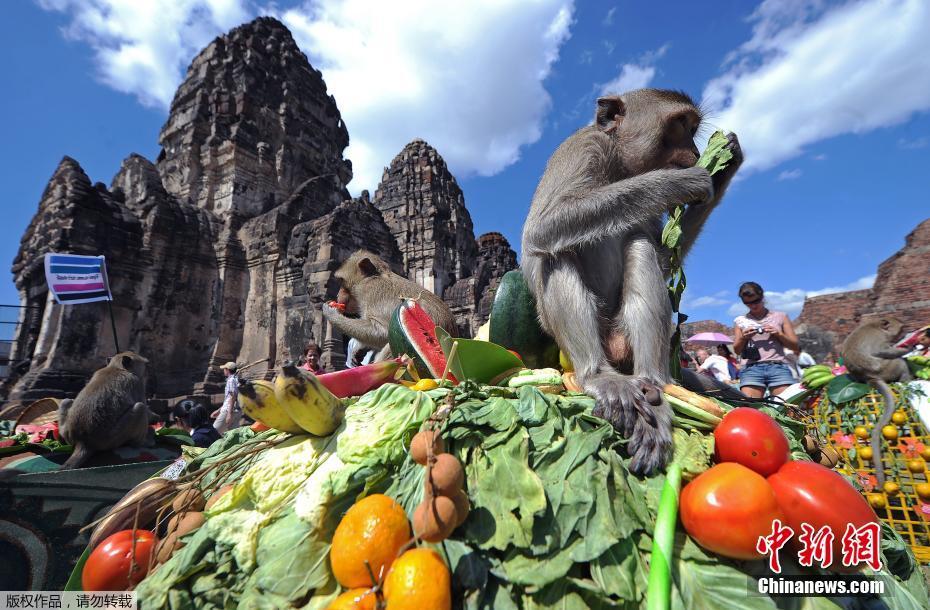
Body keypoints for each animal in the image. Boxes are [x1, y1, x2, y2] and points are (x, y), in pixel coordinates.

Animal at [320, 249, 458, 358]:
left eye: (341, 281)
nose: (337, 295)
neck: (373, 277)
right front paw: (358, 348)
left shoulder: (370, 293)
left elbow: (383, 332)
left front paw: (331, 313)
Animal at [520, 88, 740, 472]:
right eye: (680, 124)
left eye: (693, 128)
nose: (696, 153)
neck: (619, 164)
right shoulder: (582, 148)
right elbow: (543, 228)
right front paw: (679, 181)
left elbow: (663, 257)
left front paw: (724, 166)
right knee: (556, 253)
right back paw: (598, 376)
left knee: (639, 244)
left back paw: (654, 384)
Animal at [836, 316, 908, 482]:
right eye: (901, 328)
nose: (904, 334)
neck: (877, 326)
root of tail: (870, 378)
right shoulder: (880, 340)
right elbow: (880, 351)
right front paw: (906, 349)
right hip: (887, 368)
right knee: (899, 362)